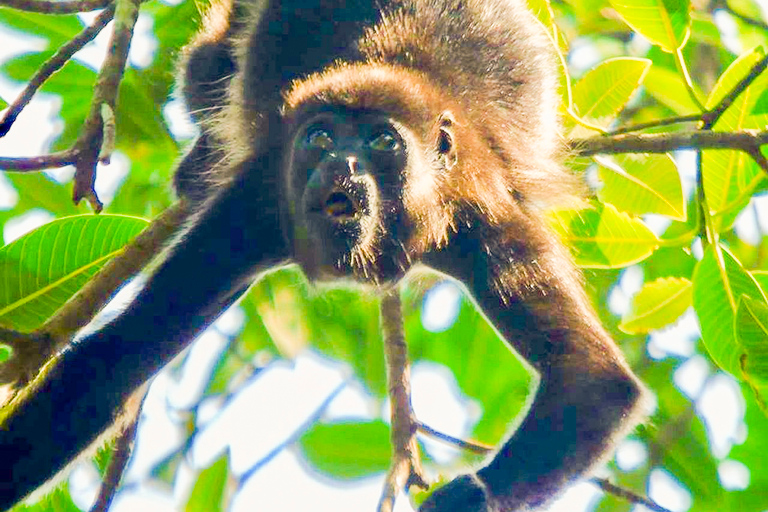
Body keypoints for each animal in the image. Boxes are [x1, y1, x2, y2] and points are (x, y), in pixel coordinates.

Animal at [0, 0, 648, 510]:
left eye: (382, 141)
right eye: (321, 137)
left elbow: (593, 379)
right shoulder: (255, 206)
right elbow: (113, 361)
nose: (343, 164)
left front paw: (469, 497)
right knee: (206, 69)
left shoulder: (482, 214)